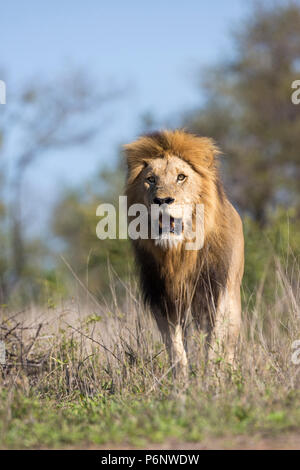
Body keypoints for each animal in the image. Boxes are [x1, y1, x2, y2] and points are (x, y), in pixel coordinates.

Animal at [124, 130, 244, 380]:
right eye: (151, 179)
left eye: (181, 177)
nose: (162, 200)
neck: (179, 253)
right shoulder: (164, 298)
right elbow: (175, 347)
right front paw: (181, 382)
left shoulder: (216, 291)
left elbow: (215, 344)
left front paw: (212, 380)